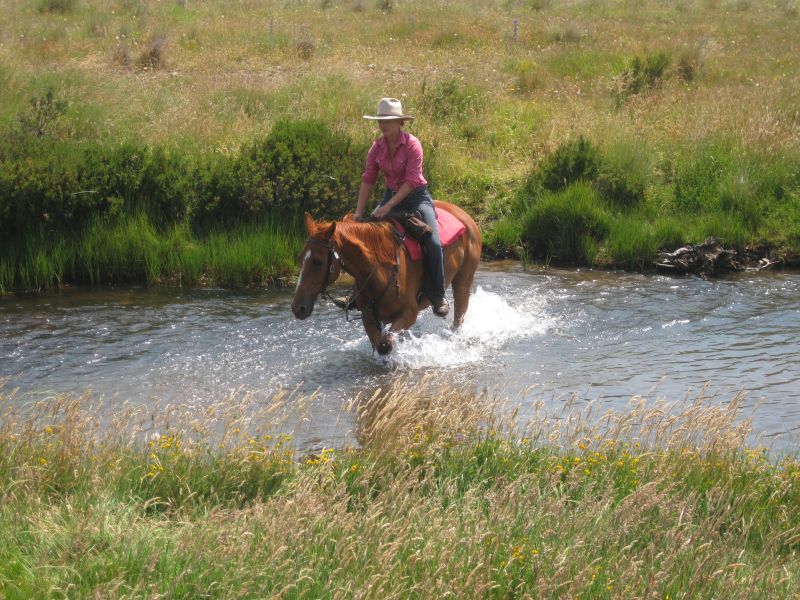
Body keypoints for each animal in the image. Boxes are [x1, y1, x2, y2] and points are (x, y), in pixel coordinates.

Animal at [292, 202, 482, 354]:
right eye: (299, 258)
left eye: (318, 262)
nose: (298, 308)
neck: (381, 270)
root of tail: (465, 216)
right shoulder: (368, 317)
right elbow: (378, 345)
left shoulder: (409, 313)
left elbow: (385, 345)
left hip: (463, 281)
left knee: (459, 316)